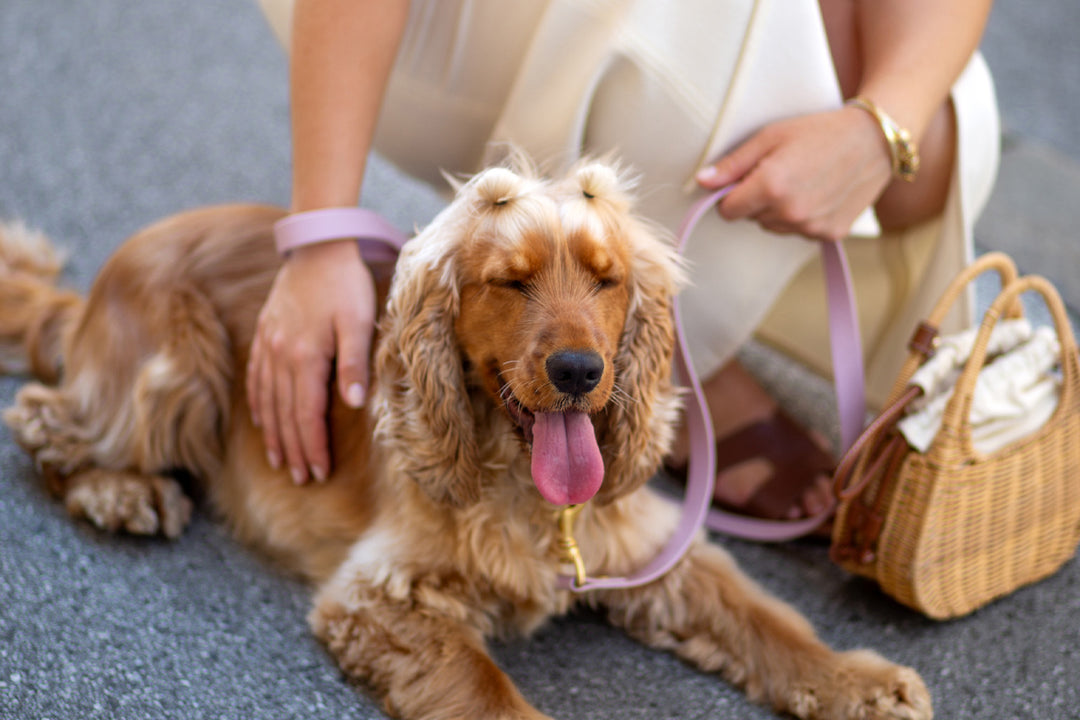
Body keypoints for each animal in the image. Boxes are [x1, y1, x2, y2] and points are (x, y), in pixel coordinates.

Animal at [0, 158, 933, 720]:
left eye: (607, 280)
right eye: (511, 283)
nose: (578, 370)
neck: (526, 487)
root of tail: (89, 302)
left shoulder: (653, 553)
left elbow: (765, 618)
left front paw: (860, 683)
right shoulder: (383, 596)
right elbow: (486, 690)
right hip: (177, 369)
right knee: (44, 417)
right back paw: (121, 490)